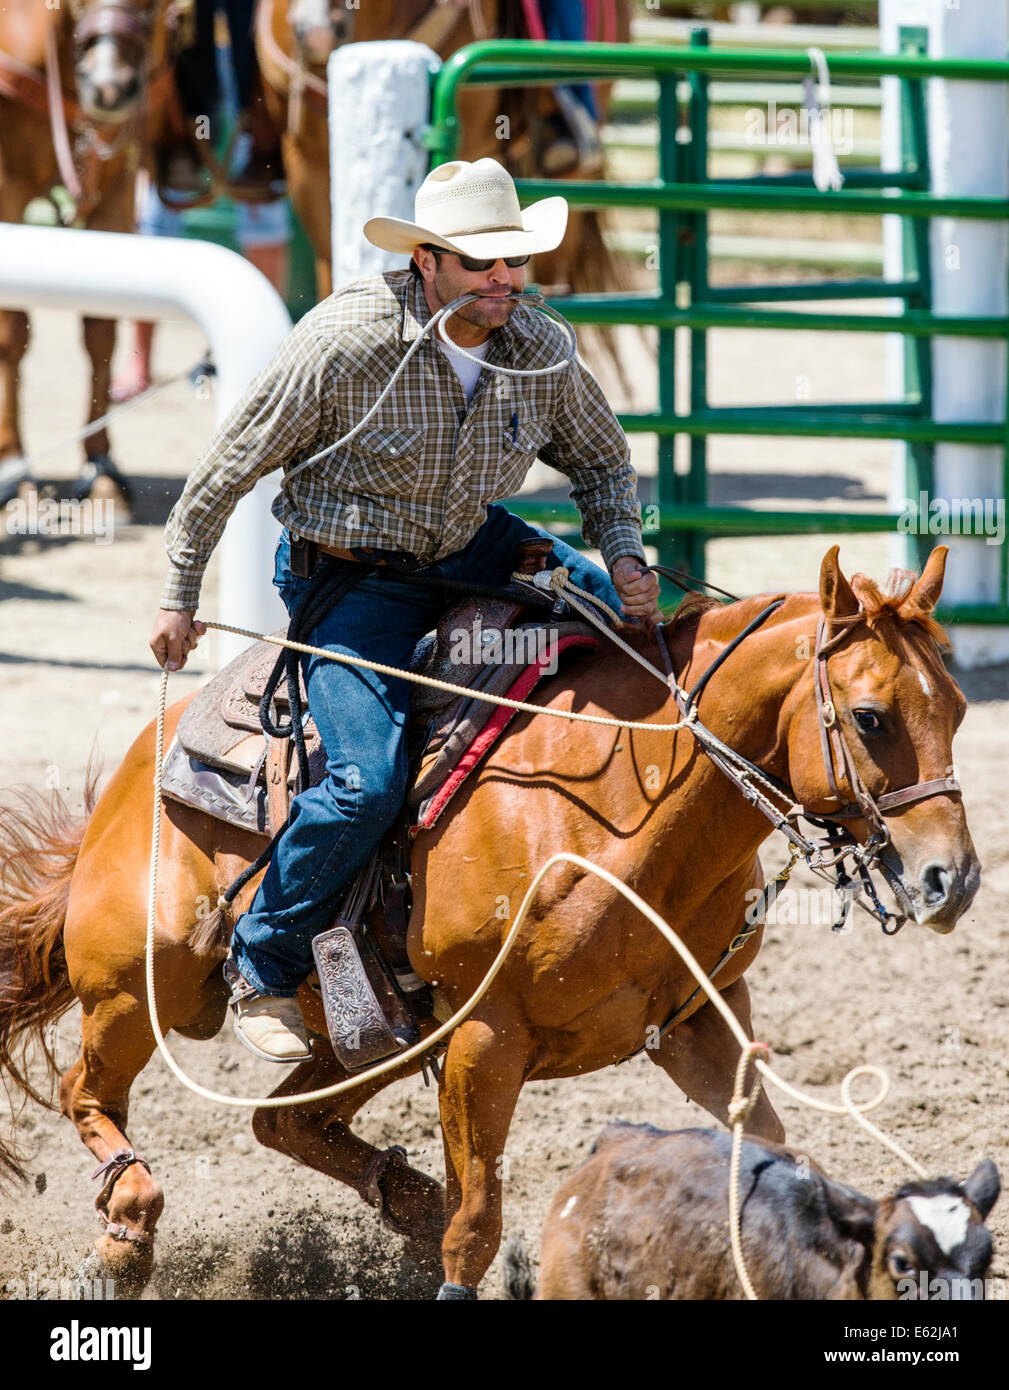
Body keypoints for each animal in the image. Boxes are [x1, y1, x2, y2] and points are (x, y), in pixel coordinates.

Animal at [0, 0, 181, 508]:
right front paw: (13, 467)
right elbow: (10, 333)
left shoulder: (117, 182)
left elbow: (101, 332)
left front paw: (100, 467)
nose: (109, 85)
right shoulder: (7, 187)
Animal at [0, 545, 979, 1297]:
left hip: (376, 1034)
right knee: (87, 1094)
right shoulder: (484, 1039)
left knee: (284, 1124)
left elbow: (771, 1152)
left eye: (960, 707)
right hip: (137, 988)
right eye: (869, 717)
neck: (622, 813)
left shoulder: (699, 1020)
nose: (954, 879)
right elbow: (475, 1224)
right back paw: (122, 1246)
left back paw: (403, 1197)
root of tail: (133, 781)